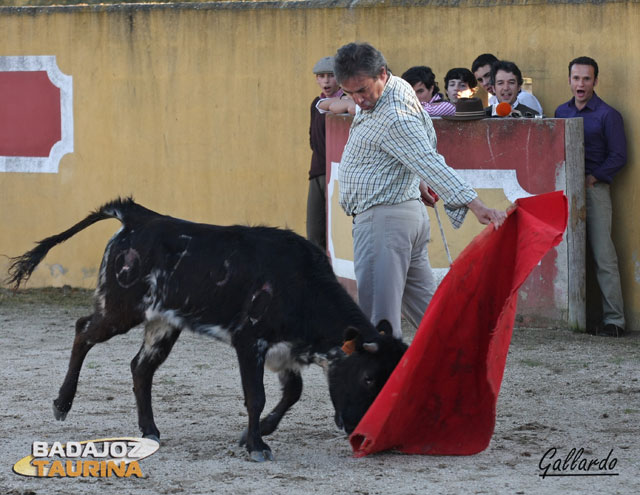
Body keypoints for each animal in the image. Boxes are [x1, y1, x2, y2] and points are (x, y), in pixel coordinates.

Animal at [7, 200, 404, 464]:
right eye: (369, 378)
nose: (356, 431)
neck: (300, 285)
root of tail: (139, 217)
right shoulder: (250, 342)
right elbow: (256, 395)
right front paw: (257, 446)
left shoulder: (285, 351)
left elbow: (292, 393)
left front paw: (256, 433)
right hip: (120, 309)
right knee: (83, 332)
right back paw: (62, 404)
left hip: (163, 324)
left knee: (140, 368)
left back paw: (149, 430)